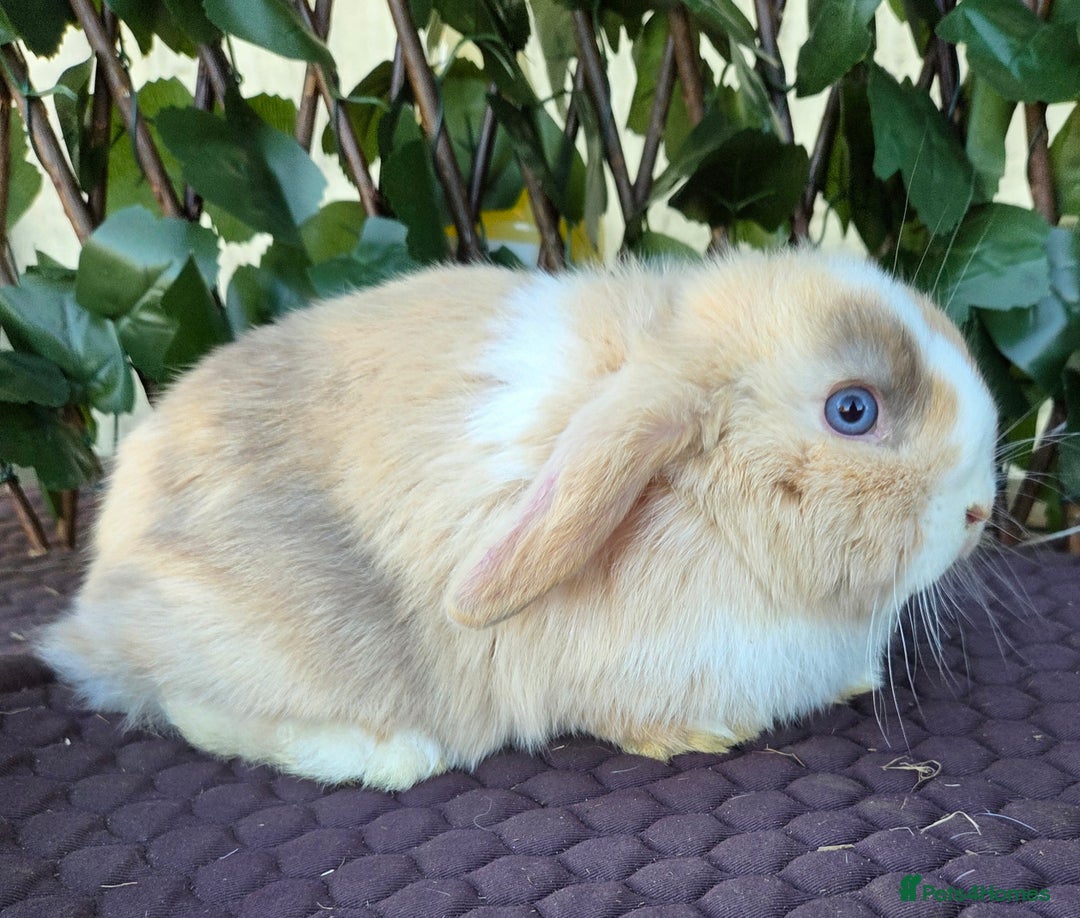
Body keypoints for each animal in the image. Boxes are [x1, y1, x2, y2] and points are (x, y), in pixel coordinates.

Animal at [37, 248, 999, 790]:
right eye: (852, 411)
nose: (982, 508)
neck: (703, 506)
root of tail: (101, 585)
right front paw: (698, 736)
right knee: (187, 706)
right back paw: (391, 756)